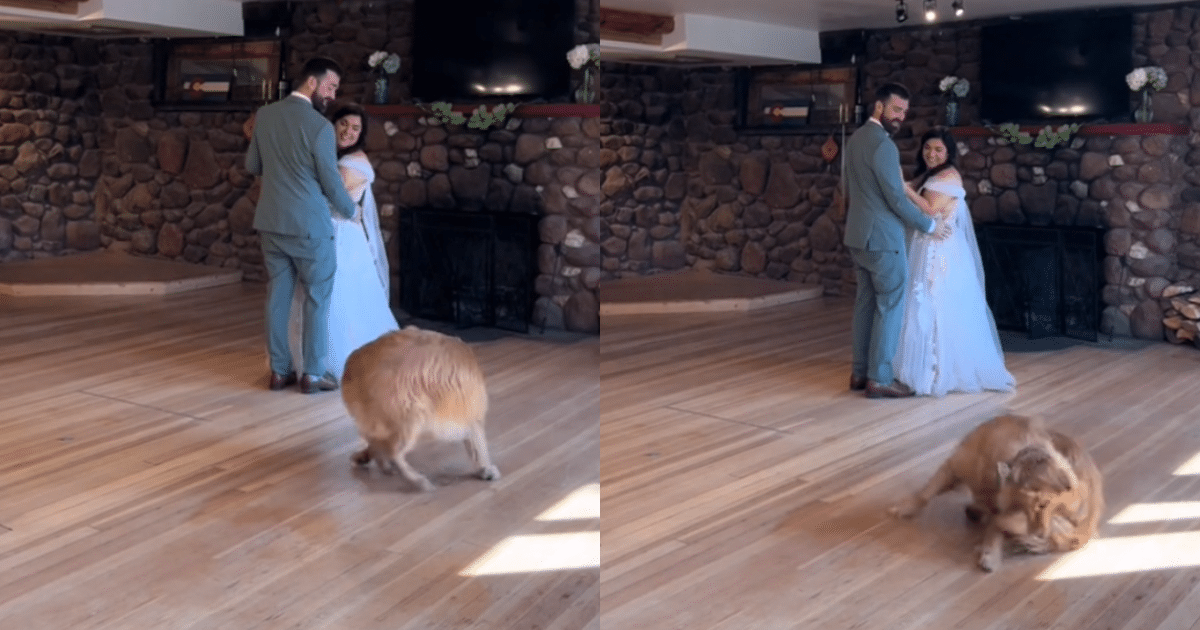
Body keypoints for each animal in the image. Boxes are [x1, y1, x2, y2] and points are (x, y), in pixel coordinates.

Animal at [340, 326, 499, 494]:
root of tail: (352, 368)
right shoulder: (473, 420)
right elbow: (479, 449)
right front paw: (487, 470)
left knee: (381, 448)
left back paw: (385, 467)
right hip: (413, 418)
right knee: (394, 453)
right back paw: (418, 481)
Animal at [888, 412, 1099, 568]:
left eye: (1044, 506)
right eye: (1038, 506)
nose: (1039, 534)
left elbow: (995, 527)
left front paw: (991, 551)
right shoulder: (954, 466)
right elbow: (926, 493)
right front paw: (906, 507)